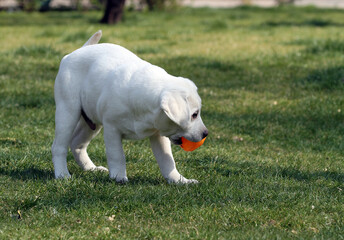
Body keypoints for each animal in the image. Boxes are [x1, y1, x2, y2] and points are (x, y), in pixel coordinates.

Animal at [51, 30, 207, 184]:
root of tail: (76, 52)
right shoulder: (112, 130)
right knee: (59, 147)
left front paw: (180, 180)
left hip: (91, 123)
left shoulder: (158, 135)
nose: (206, 133)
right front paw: (119, 177)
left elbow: (167, 160)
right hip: (68, 112)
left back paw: (92, 169)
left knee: (77, 144)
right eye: (194, 114)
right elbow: (117, 155)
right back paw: (62, 174)